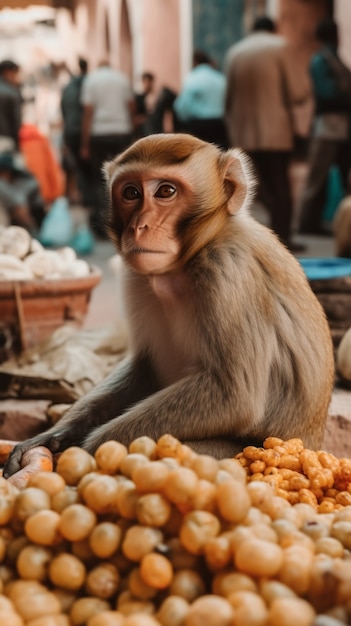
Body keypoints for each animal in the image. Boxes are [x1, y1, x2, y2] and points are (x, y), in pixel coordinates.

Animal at [4, 132, 336, 472]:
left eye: (166, 191)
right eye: (131, 192)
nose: (139, 226)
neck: (190, 257)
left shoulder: (227, 268)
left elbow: (232, 395)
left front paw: (91, 450)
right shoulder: (136, 277)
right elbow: (145, 367)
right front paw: (55, 435)